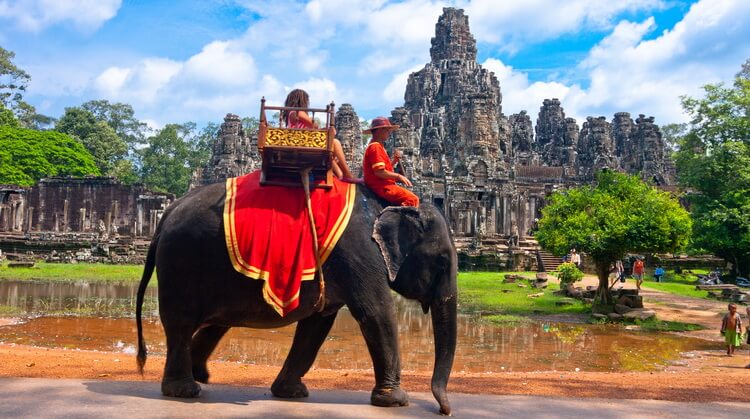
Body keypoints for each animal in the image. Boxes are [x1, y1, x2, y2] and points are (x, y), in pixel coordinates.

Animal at [138, 182, 462, 416]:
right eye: (442, 261)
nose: (444, 411)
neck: (389, 204)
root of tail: (168, 212)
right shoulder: (360, 251)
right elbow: (376, 313)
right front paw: (396, 401)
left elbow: (317, 324)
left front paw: (291, 393)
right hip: (181, 264)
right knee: (181, 325)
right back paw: (185, 391)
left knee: (216, 324)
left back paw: (201, 376)